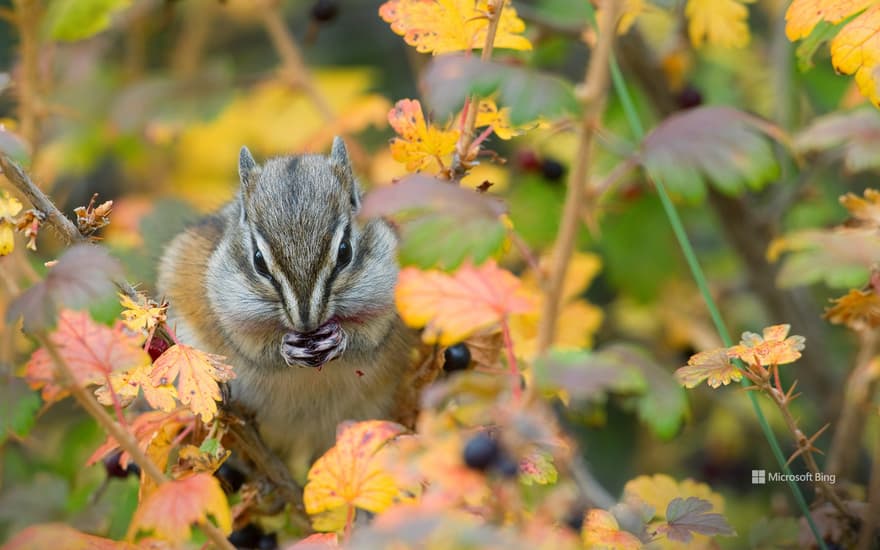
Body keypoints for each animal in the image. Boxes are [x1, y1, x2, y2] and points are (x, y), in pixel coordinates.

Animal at [157, 137, 416, 472]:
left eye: (345, 251)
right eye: (258, 261)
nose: (306, 322)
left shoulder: (388, 308)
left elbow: (369, 339)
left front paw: (339, 340)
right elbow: (255, 351)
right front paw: (285, 348)